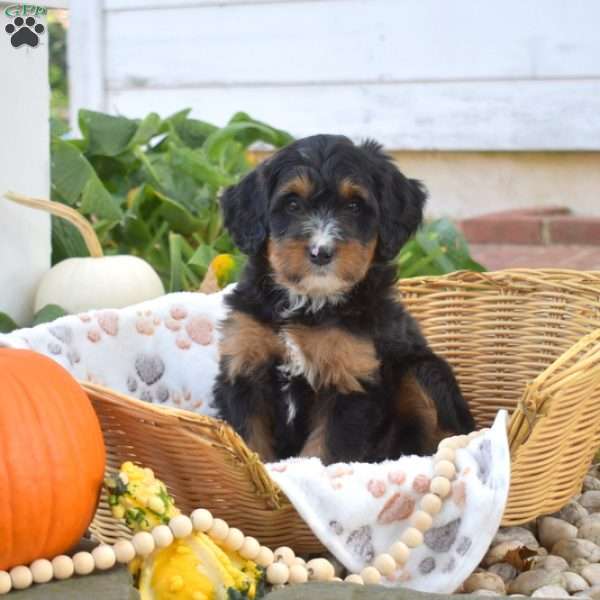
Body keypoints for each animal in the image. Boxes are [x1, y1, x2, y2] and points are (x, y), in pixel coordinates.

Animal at [211, 135, 474, 464]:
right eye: (293, 204)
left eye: (353, 206)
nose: (321, 252)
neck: (309, 303)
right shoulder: (244, 367)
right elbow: (250, 441)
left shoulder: (350, 380)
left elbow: (325, 452)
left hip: (423, 371)